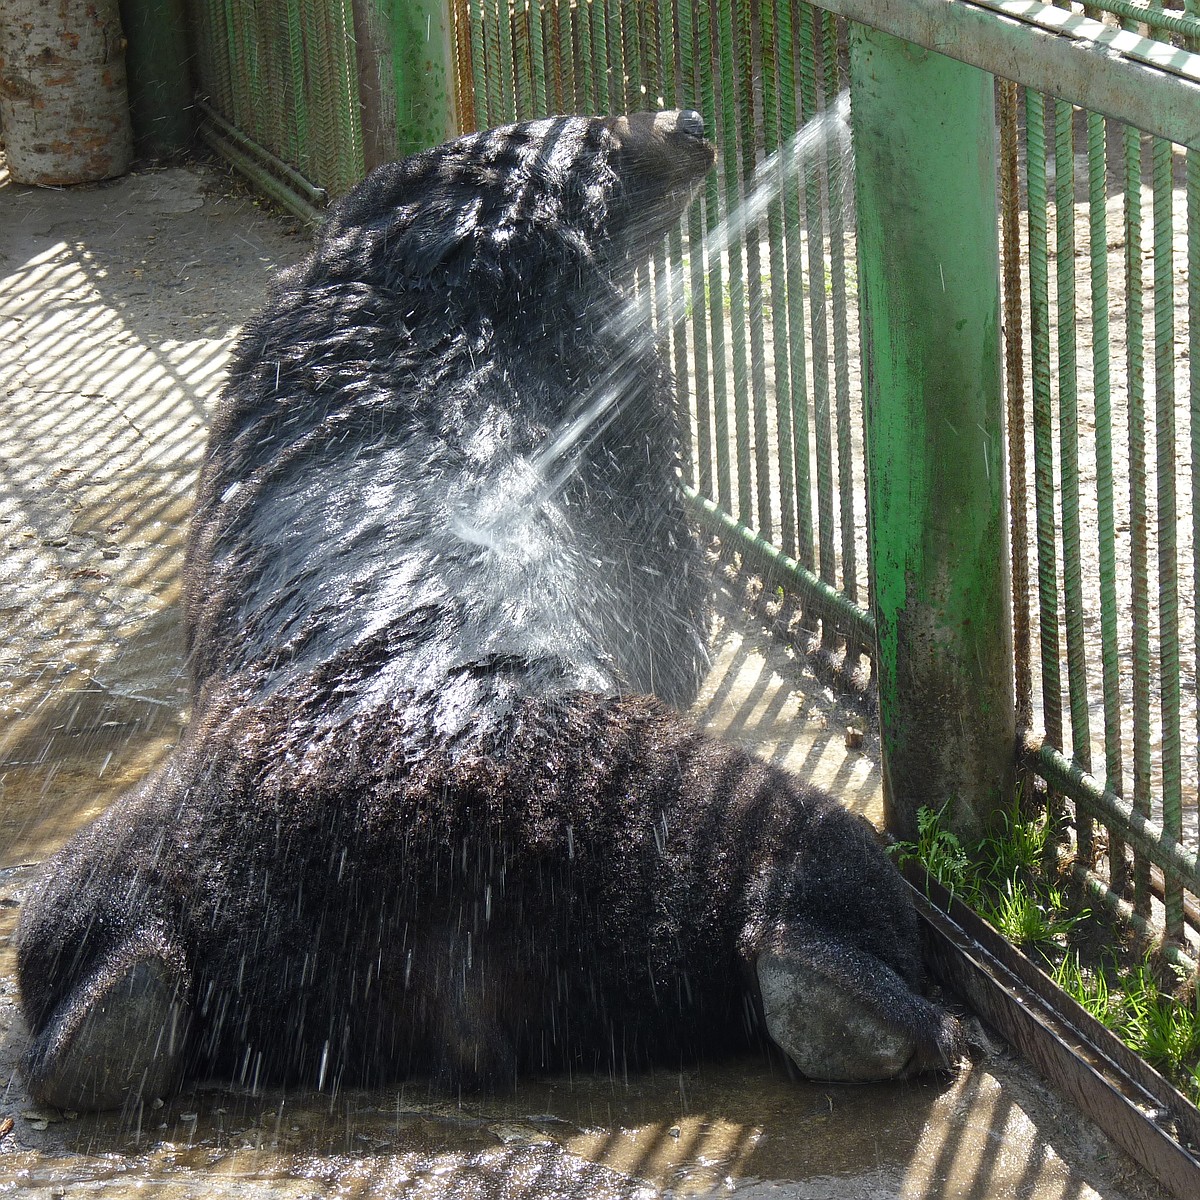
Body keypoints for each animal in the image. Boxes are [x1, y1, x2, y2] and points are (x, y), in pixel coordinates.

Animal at [14, 108, 960, 1108]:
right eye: (601, 128)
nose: (692, 122)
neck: (462, 275)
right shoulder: (624, 404)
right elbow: (668, 588)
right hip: (682, 803)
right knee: (824, 865)